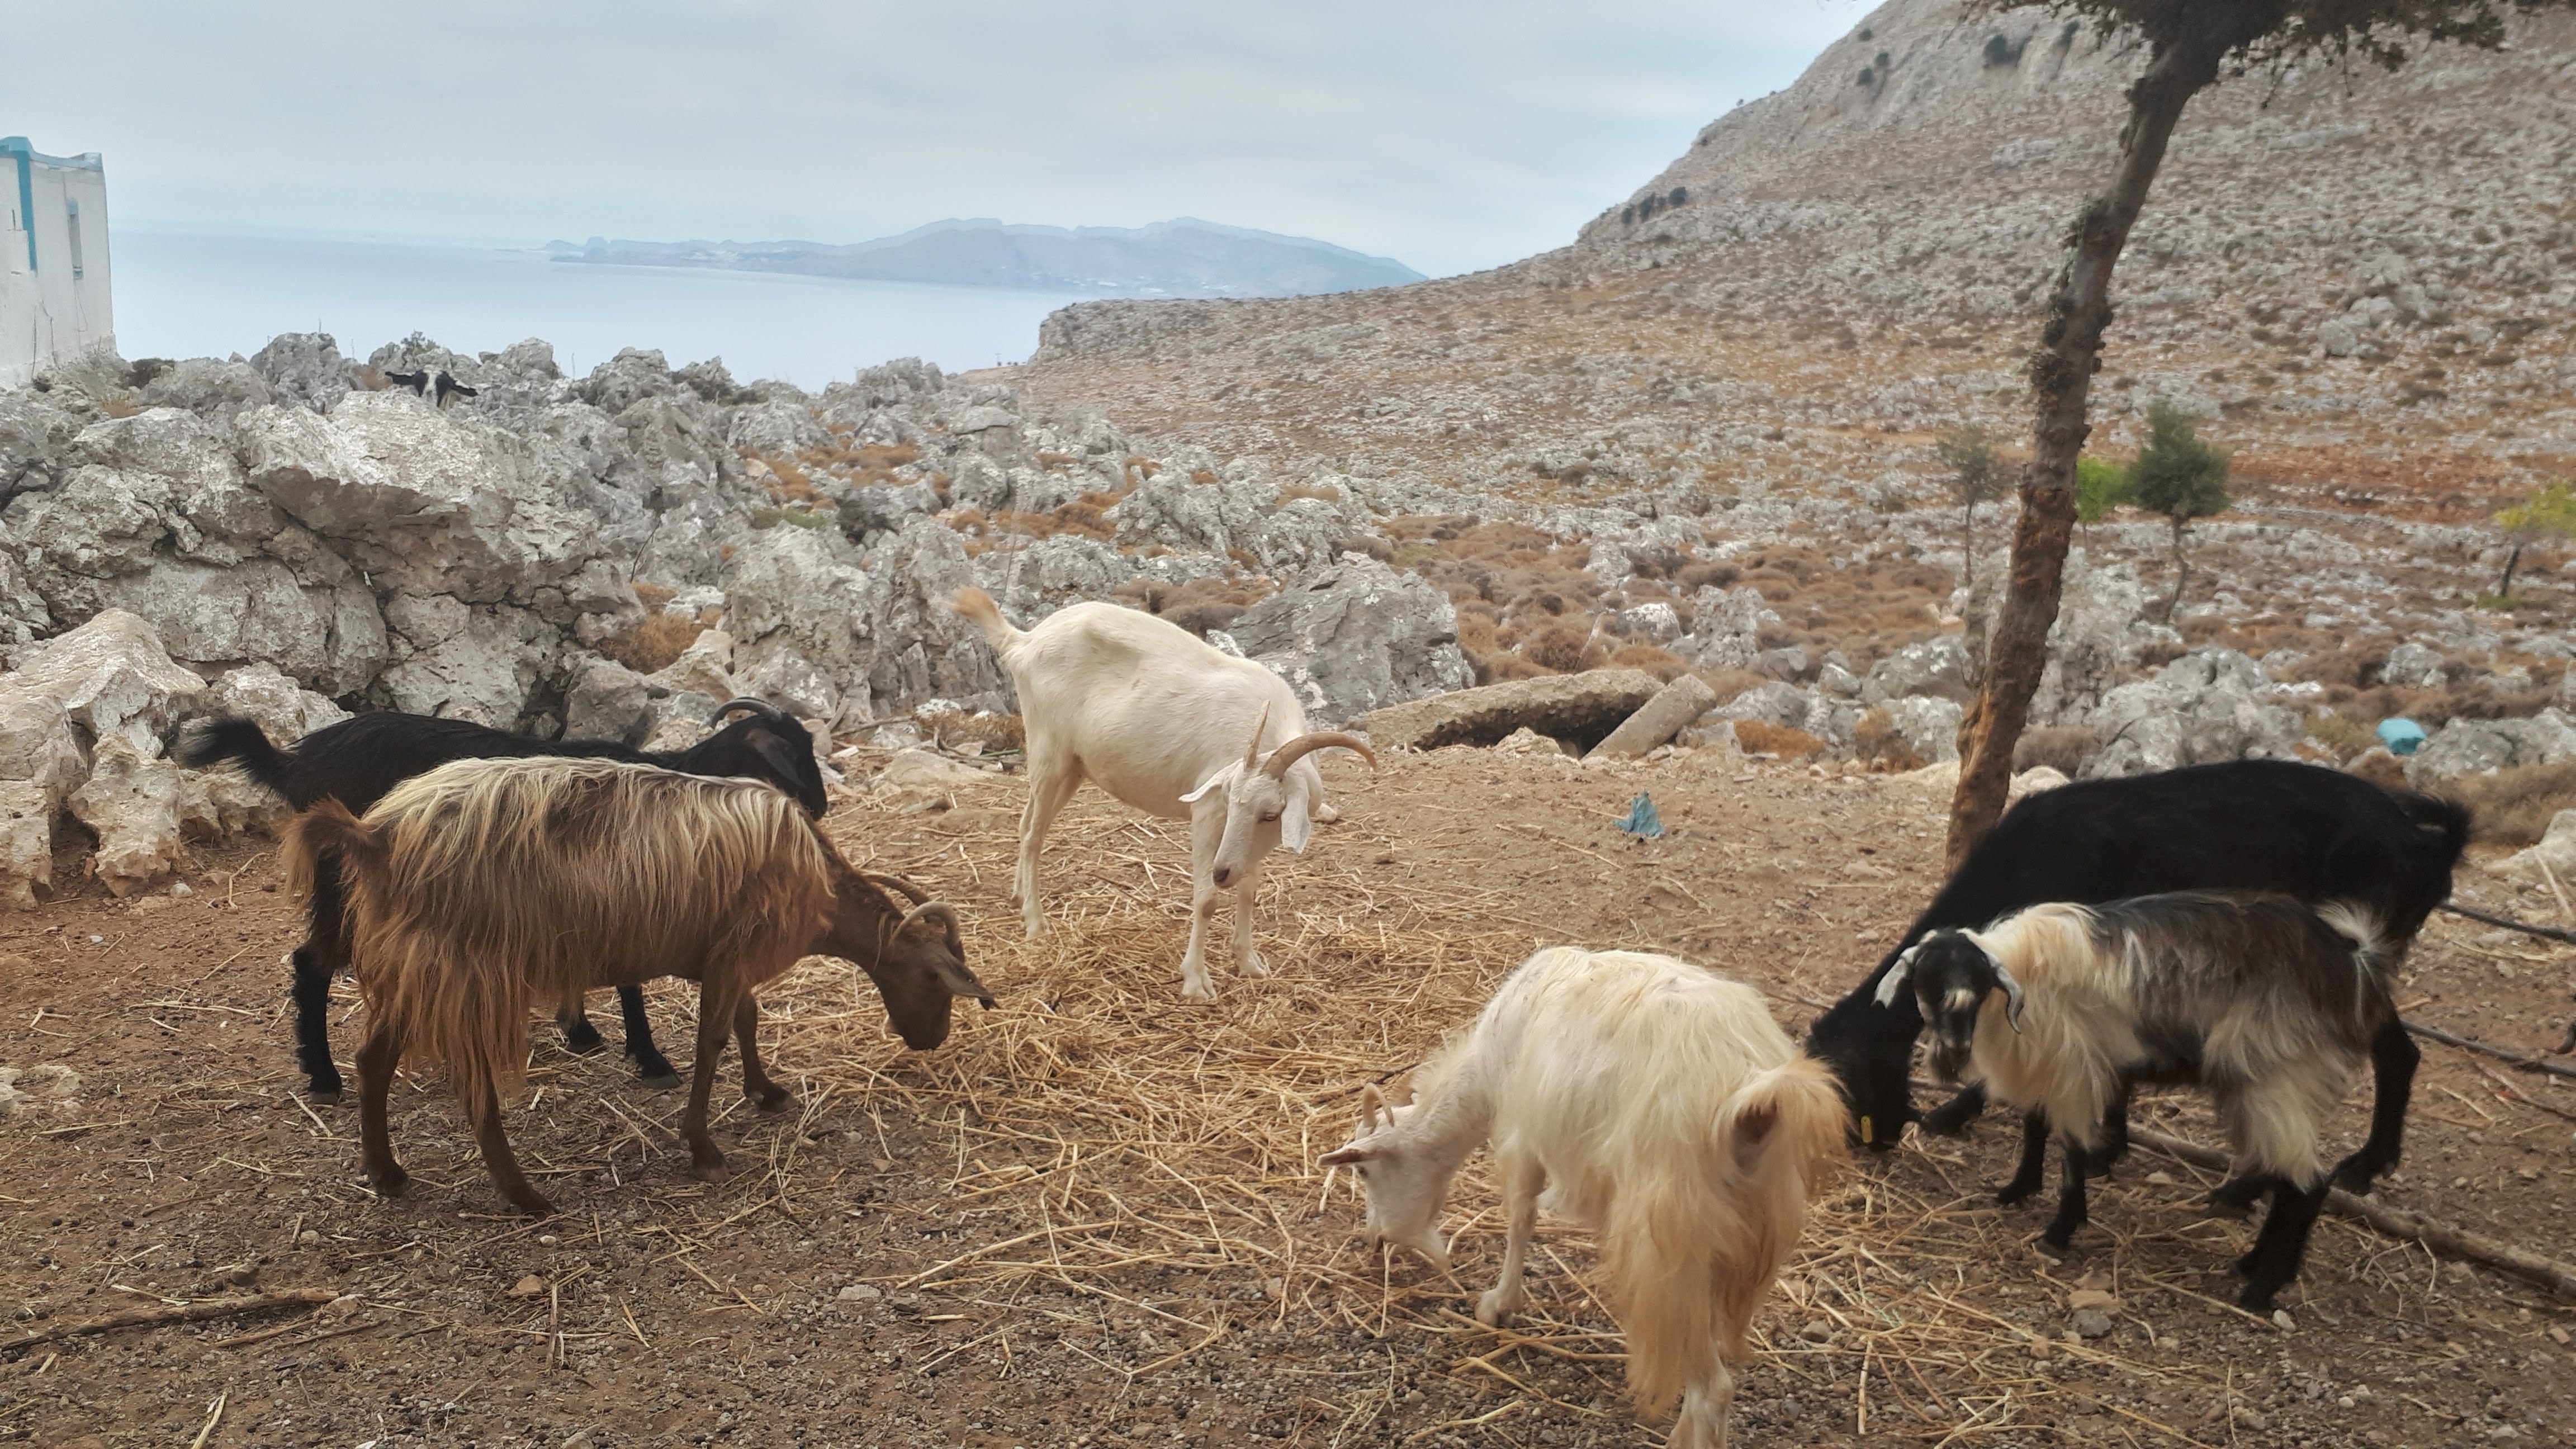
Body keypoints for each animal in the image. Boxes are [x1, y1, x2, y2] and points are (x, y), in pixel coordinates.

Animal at [179, 696, 824, 1093]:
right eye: (794, 754)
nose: (819, 806)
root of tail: (296, 762)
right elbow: (628, 979)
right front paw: (650, 1058)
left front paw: (582, 1032)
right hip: (343, 878)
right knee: (310, 962)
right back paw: (323, 1076)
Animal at [287, 747, 989, 1211]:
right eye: (935, 981)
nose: (929, 1041)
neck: (816, 887)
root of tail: (375, 831)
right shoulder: (733, 955)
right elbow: (713, 1043)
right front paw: (703, 1147)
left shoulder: (730, 958)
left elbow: (747, 1021)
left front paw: (765, 1091)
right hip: (466, 969)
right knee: (472, 1085)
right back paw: (524, 1195)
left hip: (411, 969)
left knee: (373, 1059)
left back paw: (387, 1172)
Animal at [958, 583, 1380, 990]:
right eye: (1229, 801)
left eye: (1271, 814)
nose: (1221, 872)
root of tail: (1023, 642)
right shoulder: (1207, 813)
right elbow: (1207, 901)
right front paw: (1195, 981)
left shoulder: (1250, 844)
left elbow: (1249, 889)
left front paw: (1249, 963)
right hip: (1049, 752)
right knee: (1033, 836)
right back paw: (1036, 923)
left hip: (1073, 769)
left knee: (1028, 824)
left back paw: (1019, 895)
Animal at [1319, 949, 1844, 1443]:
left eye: (1363, 1171)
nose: (1374, 1241)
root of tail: (1754, 1100)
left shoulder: (1523, 1135)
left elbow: (1521, 1218)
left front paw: (1499, 1305)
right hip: (1749, 1231)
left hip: (1670, 1244)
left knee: (1712, 1388)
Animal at [1875, 892, 2390, 1309]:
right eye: (1923, 985)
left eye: (1979, 986)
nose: (1955, 1053)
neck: (2021, 969)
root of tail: (2353, 970)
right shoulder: (2049, 1067)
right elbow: (2035, 1127)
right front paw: (2017, 1190)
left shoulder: (2073, 1068)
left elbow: (2071, 1151)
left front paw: (2059, 1231)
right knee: (2285, 1176)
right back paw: (2250, 1265)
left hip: (2280, 1081)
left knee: (2309, 1185)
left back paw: (2260, 1291)